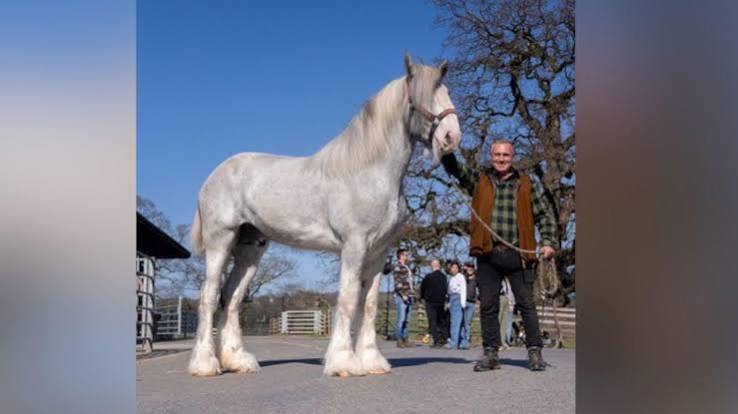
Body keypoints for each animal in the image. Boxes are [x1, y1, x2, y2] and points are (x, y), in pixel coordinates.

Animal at [188, 54, 461, 377]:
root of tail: (213, 177)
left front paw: (372, 361)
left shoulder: (379, 252)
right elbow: (348, 299)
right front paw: (344, 363)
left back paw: (238, 360)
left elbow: (369, 304)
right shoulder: (354, 245)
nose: (452, 137)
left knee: (230, 297)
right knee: (208, 297)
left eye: (446, 92)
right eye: (422, 97)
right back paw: (205, 364)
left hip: (249, 249)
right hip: (221, 241)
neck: (369, 172)